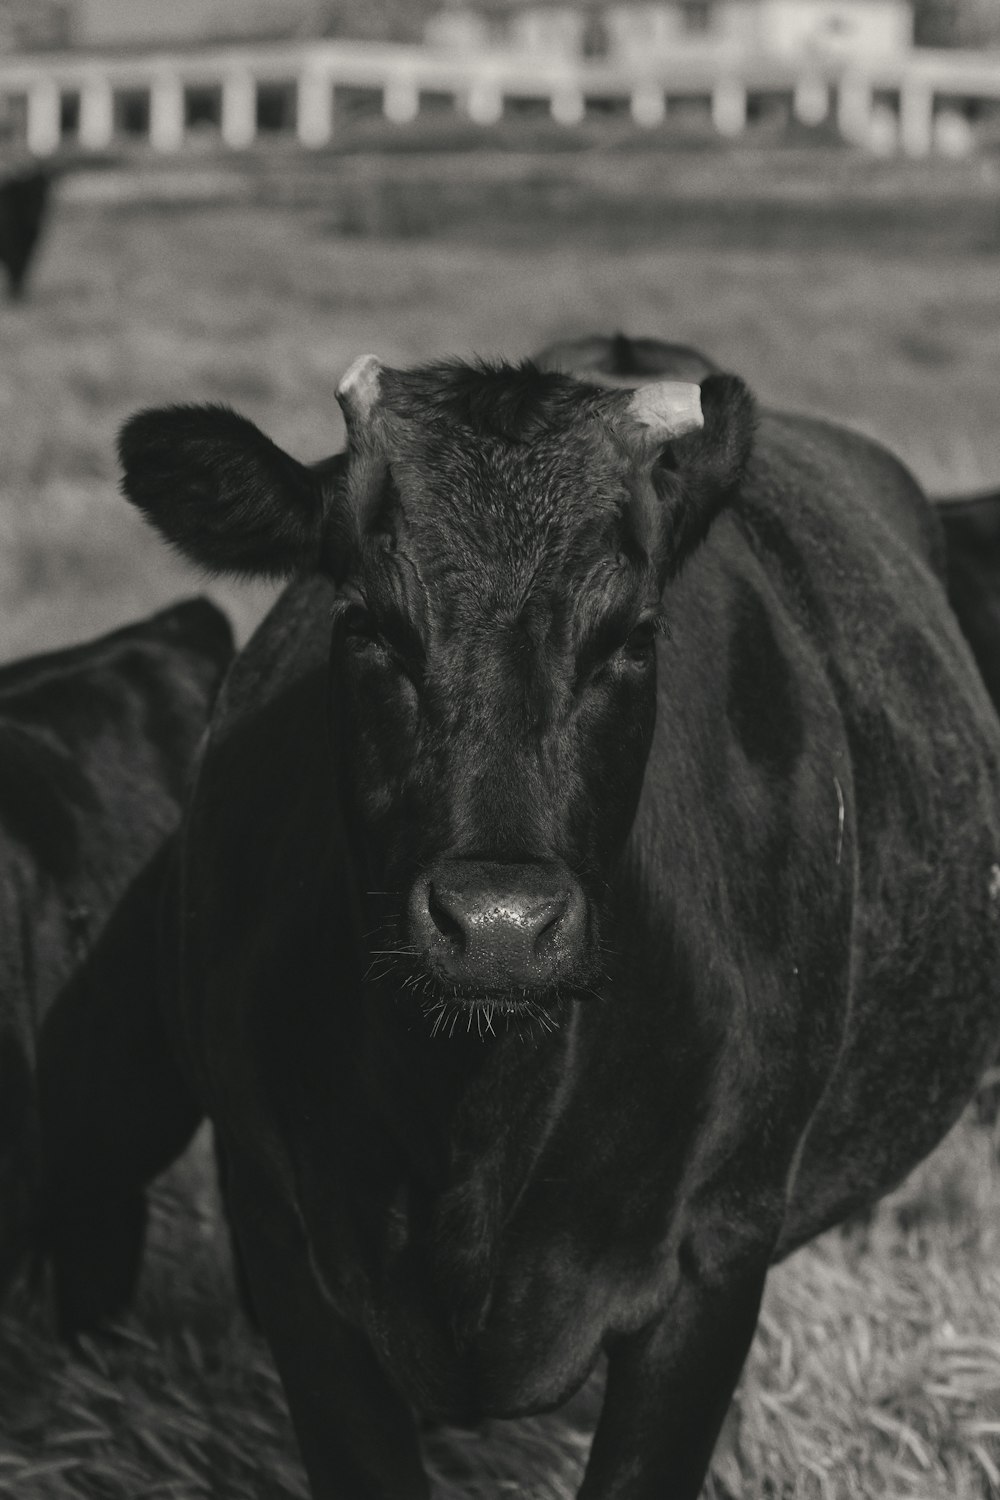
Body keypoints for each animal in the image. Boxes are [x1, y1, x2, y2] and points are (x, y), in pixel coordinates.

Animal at [0, 168, 51, 300]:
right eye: (27, 196)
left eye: (44, 192)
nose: (37, 213)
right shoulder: (12, 249)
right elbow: (16, 267)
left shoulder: (28, 248)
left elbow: (21, 269)